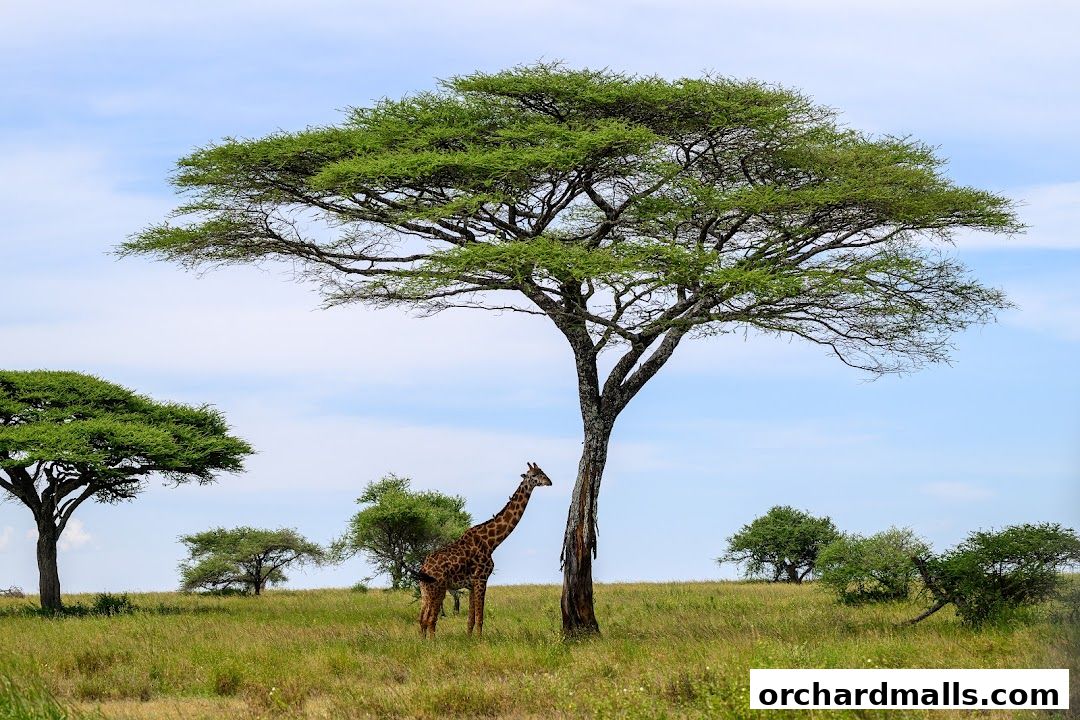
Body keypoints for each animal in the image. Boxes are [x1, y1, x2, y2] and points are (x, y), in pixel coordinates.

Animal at [416, 461, 552, 638]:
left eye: (543, 472)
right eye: (534, 475)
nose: (549, 482)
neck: (491, 542)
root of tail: (424, 569)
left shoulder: (472, 584)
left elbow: (470, 620)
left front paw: (469, 639)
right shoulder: (481, 579)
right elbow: (480, 617)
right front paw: (480, 640)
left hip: (425, 590)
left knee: (422, 619)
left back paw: (423, 641)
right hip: (438, 589)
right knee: (430, 619)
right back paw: (432, 643)